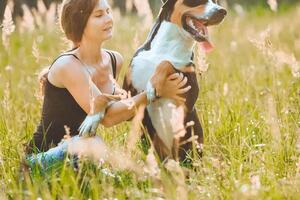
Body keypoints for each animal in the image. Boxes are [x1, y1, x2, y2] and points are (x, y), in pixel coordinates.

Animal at [123, 0, 226, 162]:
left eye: (215, 1)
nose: (222, 11)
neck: (166, 48)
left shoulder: (189, 97)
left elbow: (166, 63)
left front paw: (153, 85)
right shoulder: (127, 90)